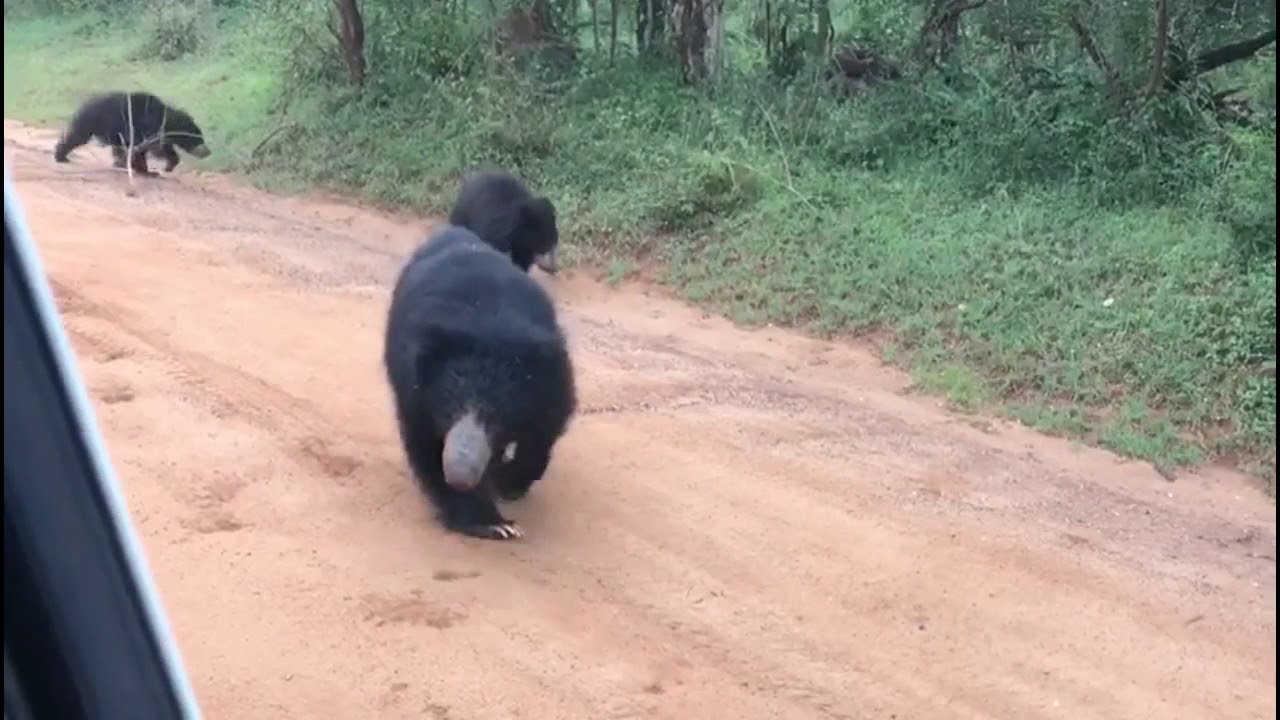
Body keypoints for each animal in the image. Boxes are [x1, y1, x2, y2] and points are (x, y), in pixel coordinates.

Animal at [53, 91, 211, 177]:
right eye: (199, 138)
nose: (207, 152)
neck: (167, 121)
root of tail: (84, 104)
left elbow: (162, 149)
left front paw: (167, 166)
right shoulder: (146, 128)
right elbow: (148, 149)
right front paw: (148, 171)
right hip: (91, 122)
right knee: (76, 137)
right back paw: (61, 156)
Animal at [383, 224, 577, 541]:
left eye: (496, 417)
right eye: (449, 410)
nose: (460, 475)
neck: (488, 329)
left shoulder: (549, 377)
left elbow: (542, 432)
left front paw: (508, 483)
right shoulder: (414, 389)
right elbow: (424, 443)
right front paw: (494, 523)